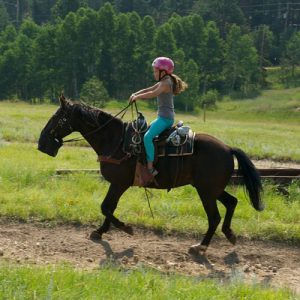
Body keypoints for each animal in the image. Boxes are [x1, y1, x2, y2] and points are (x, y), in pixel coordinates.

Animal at [38, 95, 264, 253]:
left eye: (57, 117)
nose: (42, 143)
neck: (115, 141)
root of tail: (227, 148)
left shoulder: (119, 183)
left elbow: (106, 207)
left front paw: (125, 228)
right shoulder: (117, 184)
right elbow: (109, 207)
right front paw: (100, 231)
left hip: (206, 192)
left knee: (214, 217)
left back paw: (201, 246)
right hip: (211, 189)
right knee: (232, 202)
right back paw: (229, 234)